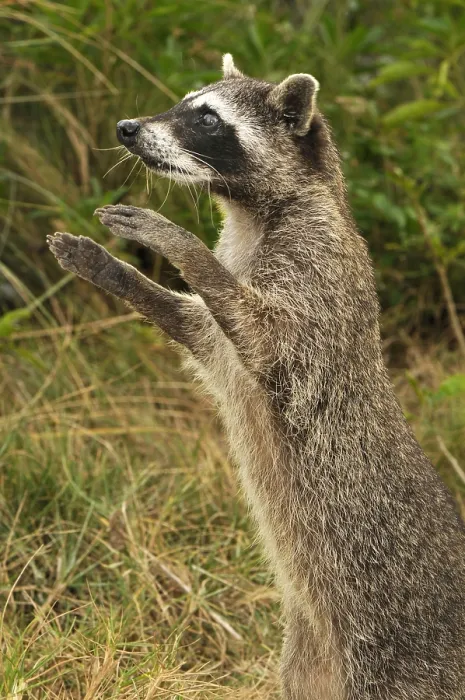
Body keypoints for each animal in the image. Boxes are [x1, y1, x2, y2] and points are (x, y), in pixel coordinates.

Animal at [48, 55, 465, 699]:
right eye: (183, 102)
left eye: (207, 119)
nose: (126, 127)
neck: (250, 212)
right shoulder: (224, 326)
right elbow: (200, 329)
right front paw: (113, 269)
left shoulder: (318, 273)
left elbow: (266, 339)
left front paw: (177, 242)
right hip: (305, 660)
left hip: (396, 662)